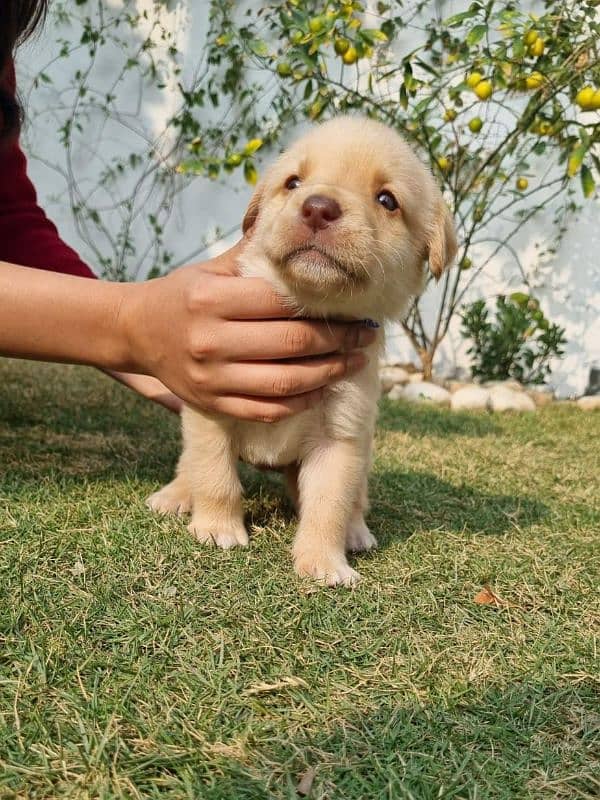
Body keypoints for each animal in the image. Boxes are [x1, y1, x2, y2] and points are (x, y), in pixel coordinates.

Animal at [148, 115, 458, 584]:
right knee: (191, 466)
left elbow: (329, 505)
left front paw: (324, 562)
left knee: (355, 500)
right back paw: (174, 496)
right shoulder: (210, 406)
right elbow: (215, 475)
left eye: (387, 200)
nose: (318, 207)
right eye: (293, 183)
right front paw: (218, 529)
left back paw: (356, 532)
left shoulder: (342, 437)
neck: (308, 311)